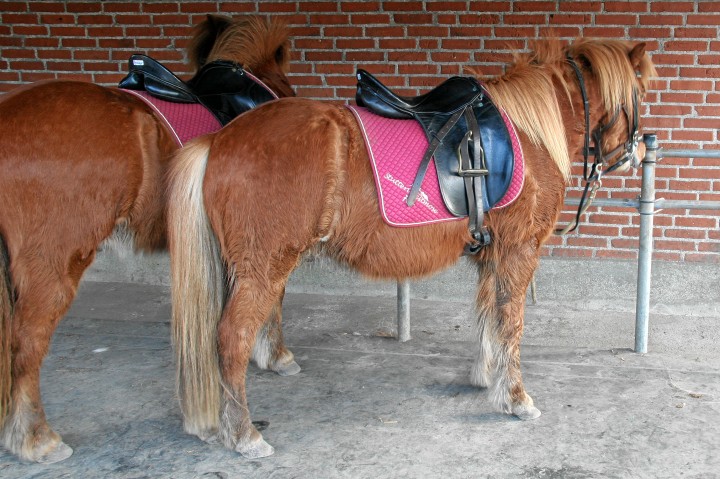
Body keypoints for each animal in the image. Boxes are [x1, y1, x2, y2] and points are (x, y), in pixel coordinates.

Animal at [167, 38, 656, 458]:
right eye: (639, 92)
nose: (635, 152)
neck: (528, 134)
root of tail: (219, 140)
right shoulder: (519, 251)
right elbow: (511, 324)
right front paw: (516, 398)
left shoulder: (491, 254)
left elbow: (488, 318)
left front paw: (486, 377)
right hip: (263, 267)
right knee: (231, 339)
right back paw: (244, 434)